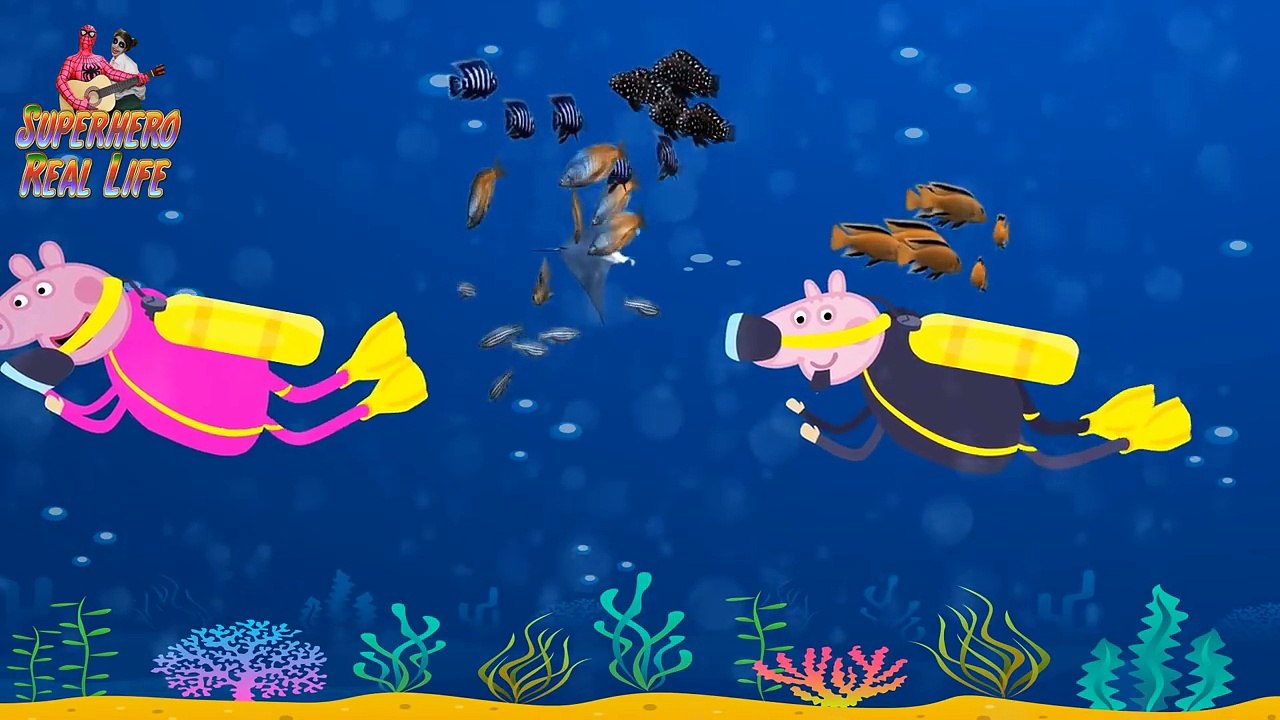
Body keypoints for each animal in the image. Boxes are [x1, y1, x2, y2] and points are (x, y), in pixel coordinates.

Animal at [0, 241, 427, 457]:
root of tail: (264, 415)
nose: (3, 326)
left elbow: (94, 420)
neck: (127, 324)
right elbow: (96, 415)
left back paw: (397, 379)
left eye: (36, 293)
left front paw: (51, 397)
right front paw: (51, 397)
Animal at [724, 269, 1190, 474]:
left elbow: (852, 449)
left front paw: (808, 428)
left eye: (818, 316)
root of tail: (1020, 440)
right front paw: (800, 411)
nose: (745, 331)